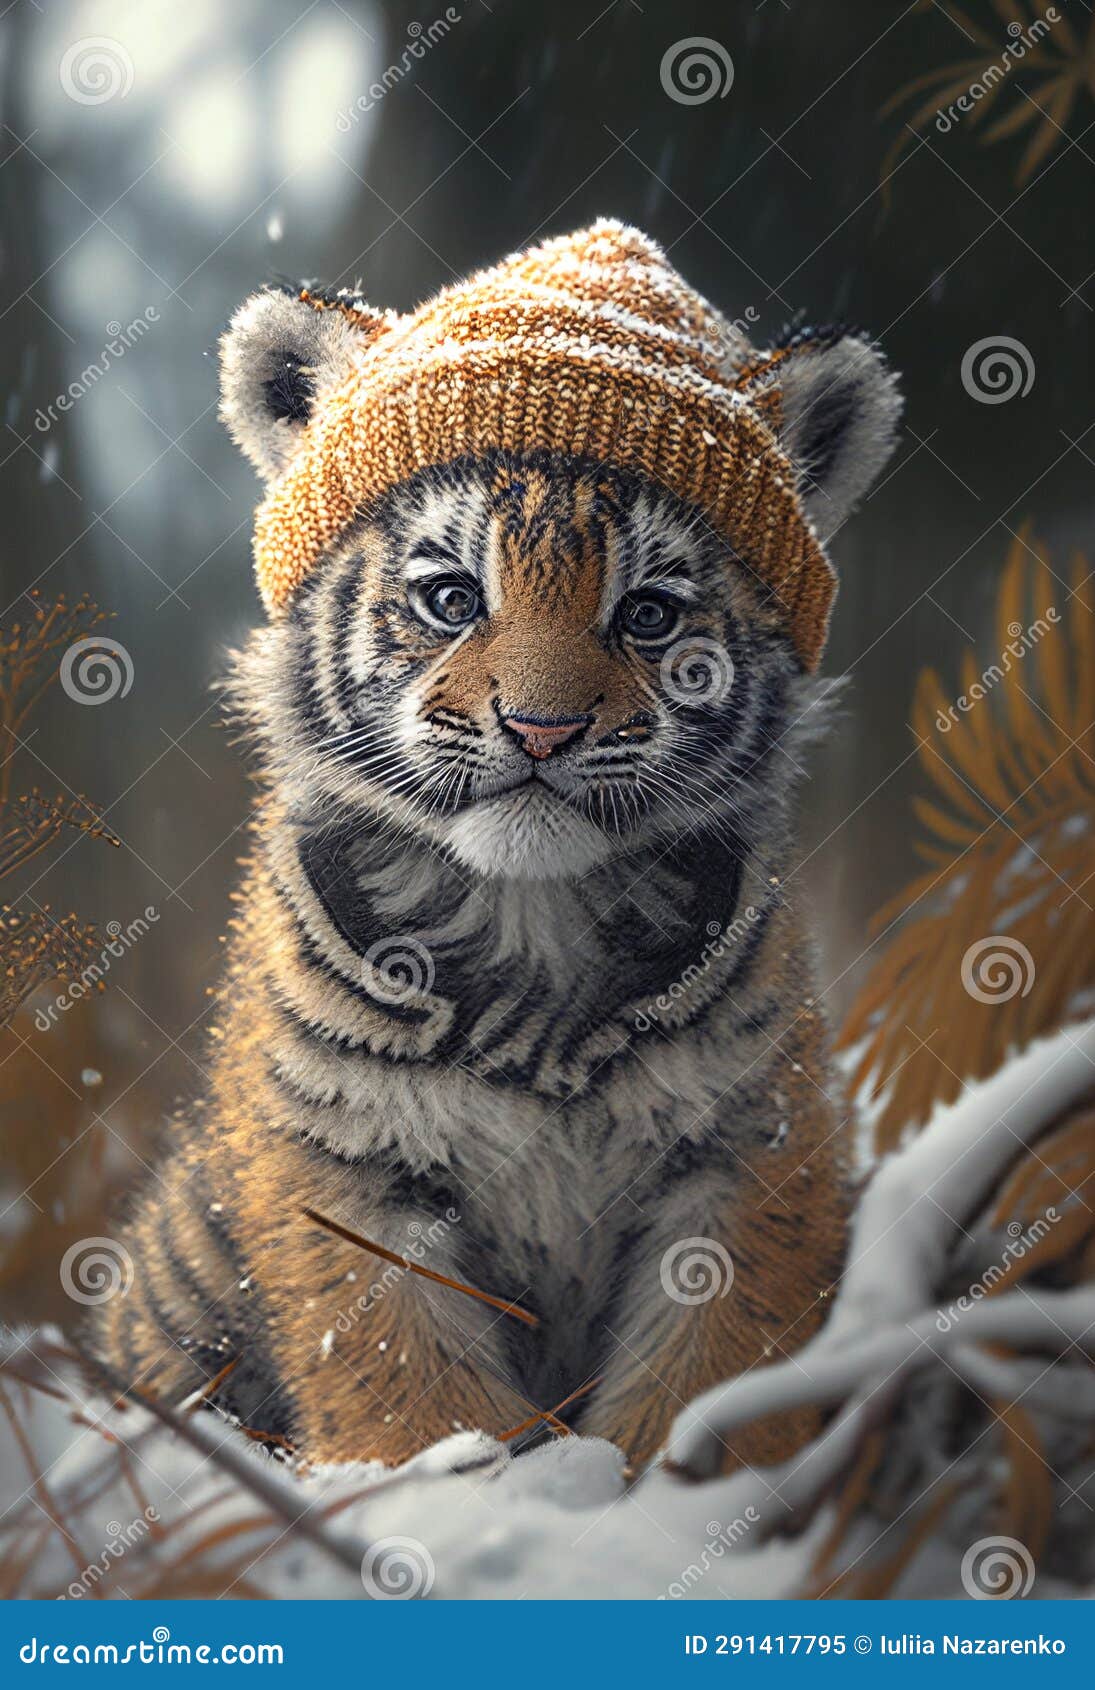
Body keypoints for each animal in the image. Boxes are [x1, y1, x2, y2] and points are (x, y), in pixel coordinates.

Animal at [91, 222, 902, 1475]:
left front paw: (671, 1489)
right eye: (449, 596)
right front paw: (447, 1484)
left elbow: (710, 1363)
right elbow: (402, 1379)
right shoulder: (340, 1166)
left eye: (650, 614)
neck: (534, 920)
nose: (542, 726)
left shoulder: (749, 1145)